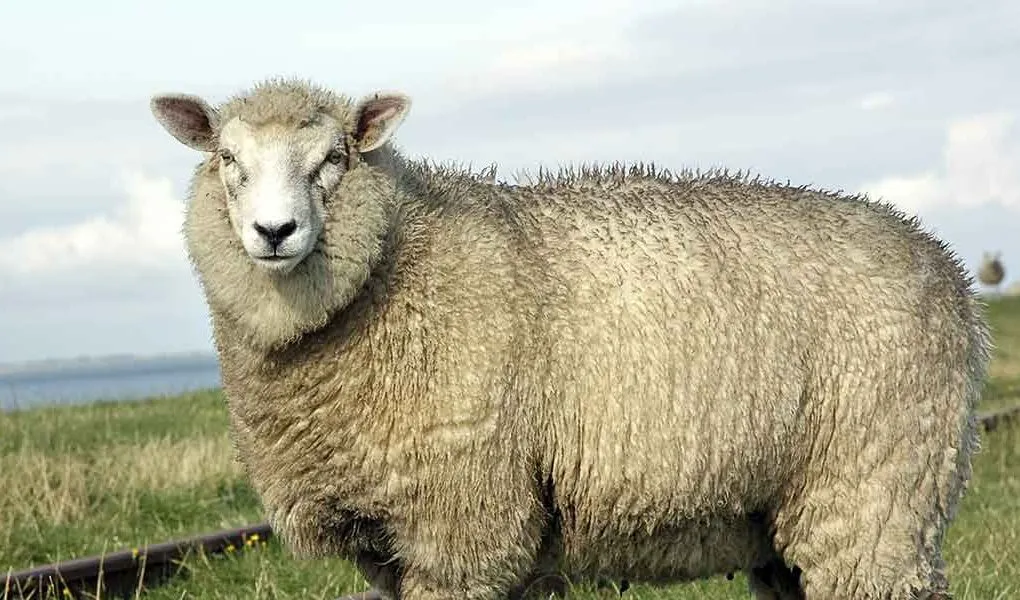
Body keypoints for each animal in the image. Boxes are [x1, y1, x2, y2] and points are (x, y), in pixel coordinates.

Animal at [149, 78, 991, 600]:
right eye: (227, 159)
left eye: (333, 159)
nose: (274, 232)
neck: (397, 259)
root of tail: (952, 273)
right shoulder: (396, 543)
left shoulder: (463, 525)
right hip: (795, 511)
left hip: (878, 492)